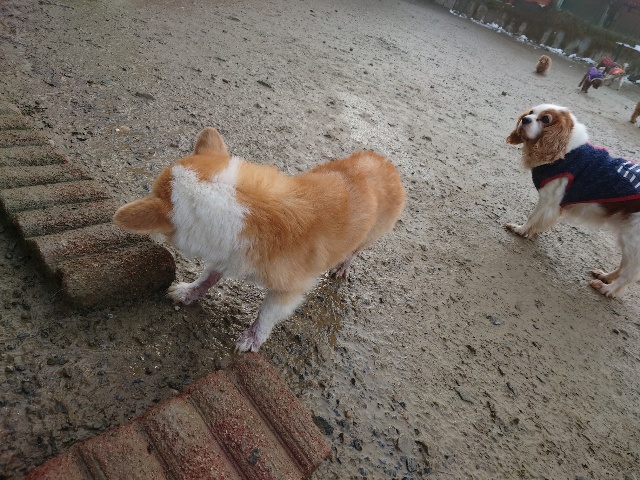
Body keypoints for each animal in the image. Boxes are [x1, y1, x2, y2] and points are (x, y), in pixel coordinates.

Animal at [113, 127, 405, 351]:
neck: (245, 203)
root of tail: (383, 161)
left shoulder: (288, 291)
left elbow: (266, 315)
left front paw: (252, 338)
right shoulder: (227, 255)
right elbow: (207, 277)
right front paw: (189, 292)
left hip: (370, 235)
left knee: (354, 251)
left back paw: (343, 266)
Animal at [506, 104, 640, 298]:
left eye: (545, 119)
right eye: (530, 113)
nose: (525, 120)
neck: (565, 151)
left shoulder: (548, 201)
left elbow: (532, 217)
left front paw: (520, 230)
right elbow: (539, 222)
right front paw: (531, 233)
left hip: (632, 240)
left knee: (630, 274)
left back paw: (608, 289)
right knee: (624, 266)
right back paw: (606, 276)